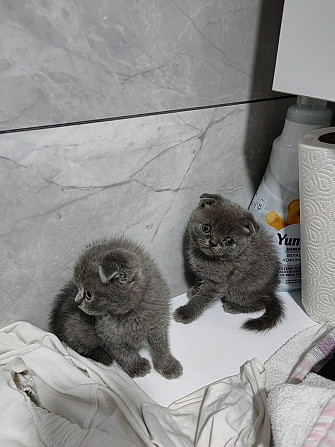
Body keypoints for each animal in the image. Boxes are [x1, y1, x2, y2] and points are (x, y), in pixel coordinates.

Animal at [48, 236, 182, 380]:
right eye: (78, 287)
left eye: (88, 294)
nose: (77, 302)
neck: (130, 314)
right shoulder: (106, 333)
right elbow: (123, 352)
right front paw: (136, 366)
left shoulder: (158, 322)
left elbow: (161, 345)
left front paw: (167, 365)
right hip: (76, 329)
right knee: (78, 347)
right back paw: (102, 356)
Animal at [173, 193, 286, 332]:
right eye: (206, 228)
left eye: (229, 241)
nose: (212, 243)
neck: (205, 257)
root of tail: (271, 292)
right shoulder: (202, 273)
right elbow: (200, 282)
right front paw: (195, 290)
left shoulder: (217, 282)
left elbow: (202, 298)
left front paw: (186, 312)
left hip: (238, 290)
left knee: (262, 302)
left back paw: (234, 307)